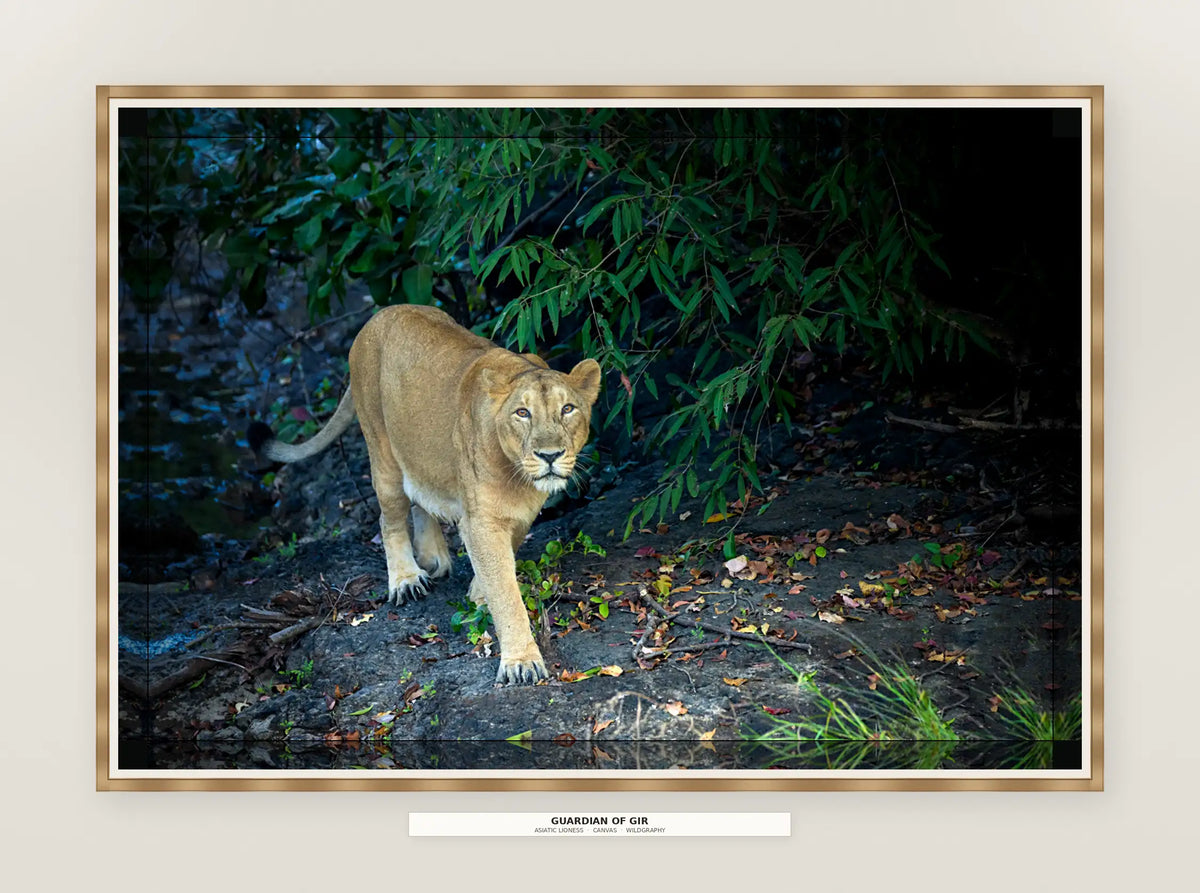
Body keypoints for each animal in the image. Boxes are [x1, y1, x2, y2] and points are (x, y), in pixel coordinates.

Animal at [249, 304, 602, 684]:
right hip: (382, 453)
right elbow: (506, 592)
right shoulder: (480, 521)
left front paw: (478, 591)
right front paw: (521, 662)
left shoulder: (520, 513)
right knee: (388, 518)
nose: (550, 455)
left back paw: (432, 556)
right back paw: (406, 580)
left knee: (420, 493)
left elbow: (503, 560)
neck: (519, 478)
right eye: (522, 413)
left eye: (567, 409)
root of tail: (378, 316)